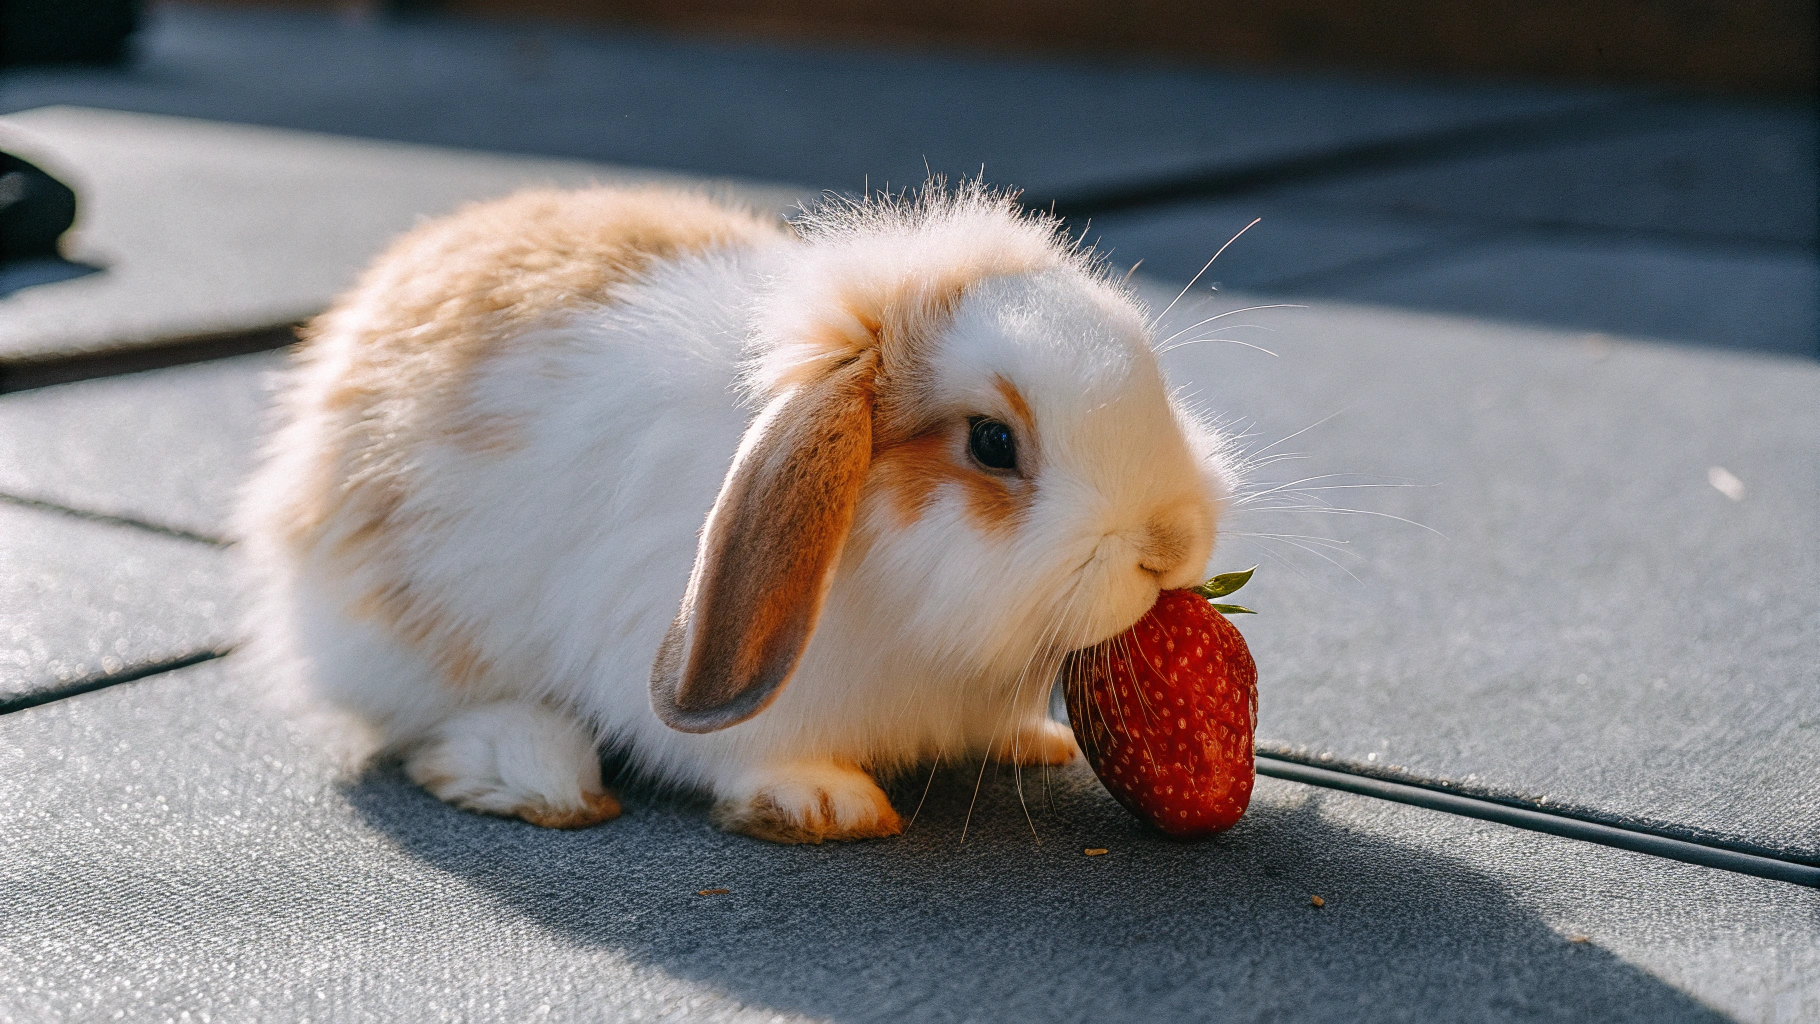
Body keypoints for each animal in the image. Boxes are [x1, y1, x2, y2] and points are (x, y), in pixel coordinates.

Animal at [237, 180, 1234, 843]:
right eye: (993, 443)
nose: (1171, 543)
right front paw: (825, 803)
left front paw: (1034, 741)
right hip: (396, 638)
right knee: (424, 722)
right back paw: (534, 772)